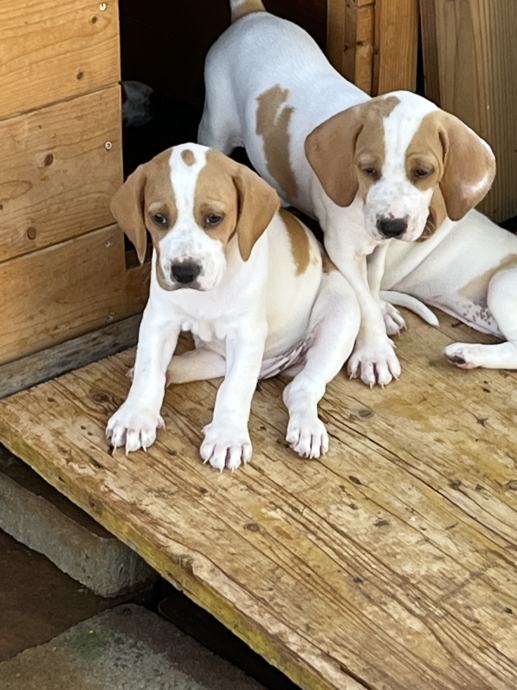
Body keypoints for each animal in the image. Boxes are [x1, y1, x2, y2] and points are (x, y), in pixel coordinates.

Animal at [106, 143, 360, 470]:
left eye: (214, 218)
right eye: (159, 218)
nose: (184, 271)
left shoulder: (246, 334)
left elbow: (234, 389)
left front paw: (227, 437)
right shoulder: (159, 320)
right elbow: (150, 371)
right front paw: (136, 417)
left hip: (341, 316)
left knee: (301, 388)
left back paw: (307, 428)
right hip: (216, 355)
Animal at [199, 0, 495, 387]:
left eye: (423, 173)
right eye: (367, 170)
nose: (393, 226)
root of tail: (251, 14)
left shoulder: (377, 248)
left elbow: (372, 285)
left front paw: (380, 314)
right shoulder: (341, 249)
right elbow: (362, 299)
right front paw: (374, 353)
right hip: (214, 126)